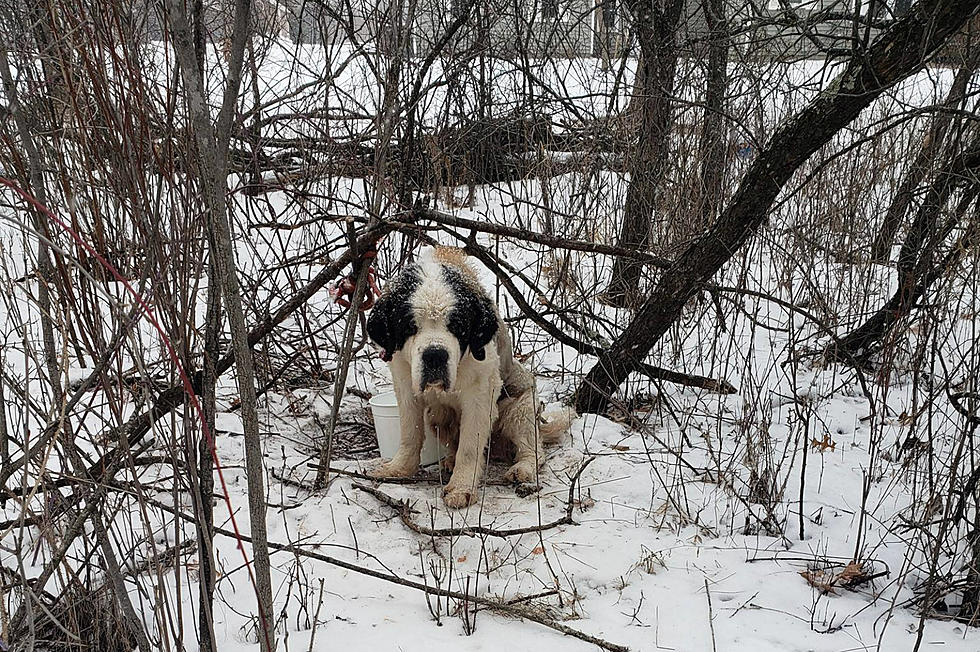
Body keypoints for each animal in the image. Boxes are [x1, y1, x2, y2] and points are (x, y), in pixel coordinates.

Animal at [366, 247, 576, 506]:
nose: (434, 355)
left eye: (457, 326)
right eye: (409, 327)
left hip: (521, 407)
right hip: (439, 417)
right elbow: (410, 433)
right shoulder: (405, 384)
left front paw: (461, 488)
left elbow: (469, 446)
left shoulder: (480, 395)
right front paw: (398, 469)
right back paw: (448, 460)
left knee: (533, 449)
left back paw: (522, 468)